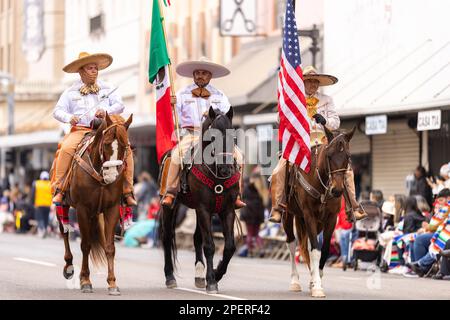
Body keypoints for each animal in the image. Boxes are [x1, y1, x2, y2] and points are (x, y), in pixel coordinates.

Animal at [57, 114, 134, 296]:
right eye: (106, 143)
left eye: (124, 146)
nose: (111, 175)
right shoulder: (82, 209)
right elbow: (85, 245)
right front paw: (85, 280)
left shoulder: (111, 209)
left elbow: (110, 247)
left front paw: (112, 283)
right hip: (63, 203)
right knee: (64, 231)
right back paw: (69, 267)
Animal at [159, 106, 241, 294]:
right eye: (212, 137)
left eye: (233, 137)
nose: (226, 169)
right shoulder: (204, 209)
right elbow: (209, 245)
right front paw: (211, 281)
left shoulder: (227, 210)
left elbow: (229, 246)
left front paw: (217, 274)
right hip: (170, 207)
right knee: (167, 237)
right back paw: (170, 277)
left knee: (197, 237)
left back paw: (198, 275)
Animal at [284, 125, 356, 298]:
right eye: (329, 155)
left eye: (348, 156)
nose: (337, 190)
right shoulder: (309, 215)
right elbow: (316, 250)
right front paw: (317, 286)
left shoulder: (330, 219)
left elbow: (322, 250)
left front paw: (316, 282)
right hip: (288, 215)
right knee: (291, 243)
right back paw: (295, 282)